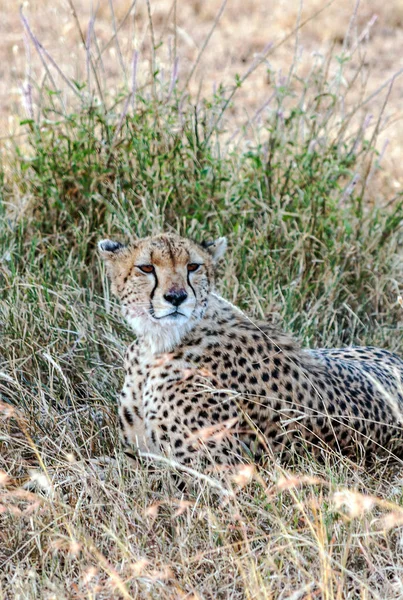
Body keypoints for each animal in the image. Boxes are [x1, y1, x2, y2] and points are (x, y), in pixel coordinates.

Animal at [99, 232, 403, 466]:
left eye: (193, 267)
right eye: (146, 268)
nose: (176, 297)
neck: (158, 344)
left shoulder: (216, 471)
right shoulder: (135, 451)